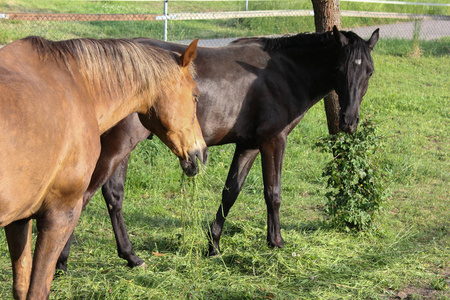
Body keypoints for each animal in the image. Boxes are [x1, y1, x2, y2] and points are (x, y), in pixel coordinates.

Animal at [0, 36, 207, 298]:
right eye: (195, 96)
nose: (201, 153)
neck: (78, 85)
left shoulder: (19, 220)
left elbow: (21, 286)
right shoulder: (59, 215)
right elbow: (37, 290)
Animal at [56, 25, 380, 270]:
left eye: (370, 72)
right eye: (340, 68)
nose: (348, 121)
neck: (283, 71)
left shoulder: (248, 145)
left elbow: (230, 192)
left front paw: (213, 244)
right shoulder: (274, 140)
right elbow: (273, 193)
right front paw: (275, 242)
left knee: (114, 197)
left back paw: (131, 257)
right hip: (118, 145)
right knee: (84, 195)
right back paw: (61, 261)